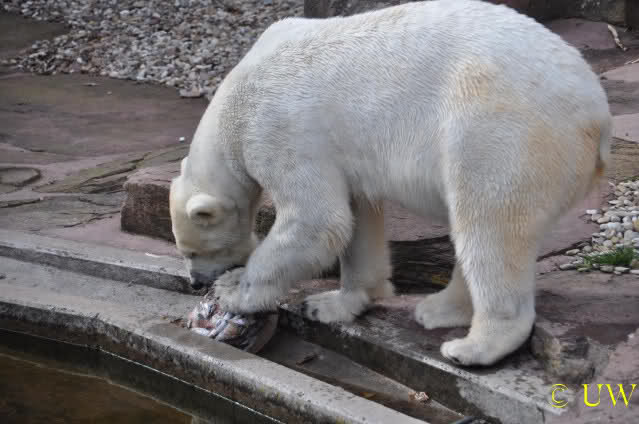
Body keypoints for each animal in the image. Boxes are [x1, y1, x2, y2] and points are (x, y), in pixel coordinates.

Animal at [169, 0, 611, 366]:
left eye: (194, 251)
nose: (196, 282)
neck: (234, 105)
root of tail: (597, 113)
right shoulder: (339, 155)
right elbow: (356, 217)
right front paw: (331, 303)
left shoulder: (277, 130)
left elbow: (316, 221)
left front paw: (233, 289)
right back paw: (437, 309)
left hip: (501, 129)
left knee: (490, 224)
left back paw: (472, 346)